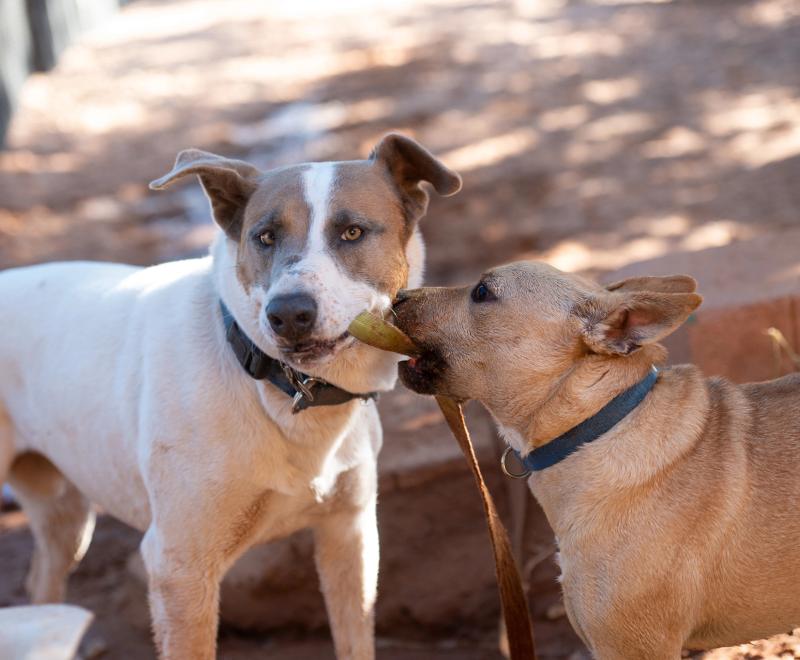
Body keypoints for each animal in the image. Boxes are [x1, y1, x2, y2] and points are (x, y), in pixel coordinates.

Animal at [0, 135, 460, 660]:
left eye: (352, 232)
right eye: (265, 237)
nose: (288, 313)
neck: (282, 391)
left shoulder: (350, 534)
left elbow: (355, 639)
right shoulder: (179, 567)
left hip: (66, 519)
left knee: (42, 584)